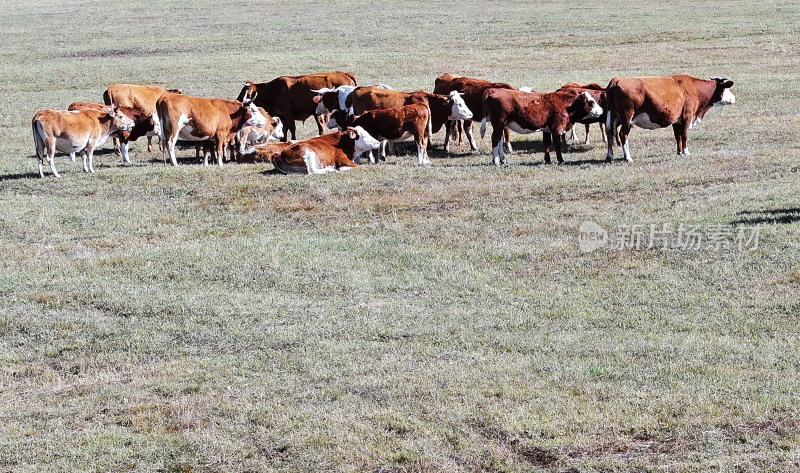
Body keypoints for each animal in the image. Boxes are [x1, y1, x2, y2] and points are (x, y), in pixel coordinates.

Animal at [244, 126, 382, 174]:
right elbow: (354, 166)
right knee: (312, 171)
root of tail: (278, 153)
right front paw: (340, 169)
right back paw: (330, 170)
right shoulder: (343, 159)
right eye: (364, 136)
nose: (377, 142)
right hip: (308, 153)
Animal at [608, 74, 736, 161]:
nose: (734, 98)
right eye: (726, 88)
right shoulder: (687, 116)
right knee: (623, 134)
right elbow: (684, 134)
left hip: (613, 117)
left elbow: (677, 136)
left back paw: (610, 156)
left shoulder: (677, 120)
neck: (693, 88)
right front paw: (686, 152)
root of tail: (617, 80)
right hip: (627, 118)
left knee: (610, 133)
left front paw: (679, 152)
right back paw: (628, 157)